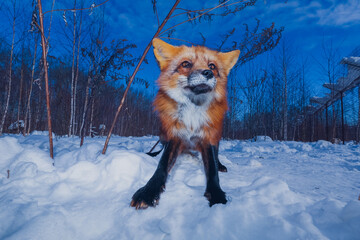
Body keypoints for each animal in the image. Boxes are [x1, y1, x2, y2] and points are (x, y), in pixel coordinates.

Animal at [130, 38, 239, 209]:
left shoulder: (208, 137)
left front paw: (216, 194)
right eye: (186, 64)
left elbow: (212, 169)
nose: (207, 73)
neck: (192, 112)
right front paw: (149, 191)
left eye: (212, 66)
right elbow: (161, 166)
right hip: (163, 135)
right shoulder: (175, 136)